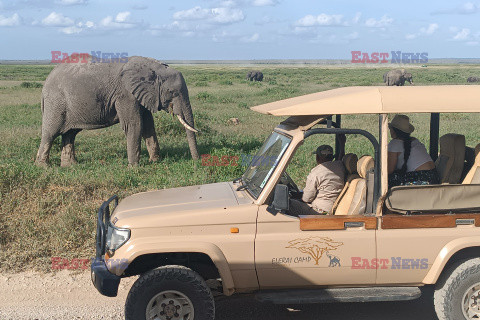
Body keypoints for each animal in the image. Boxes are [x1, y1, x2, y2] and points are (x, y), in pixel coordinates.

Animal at [36, 55, 199, 168]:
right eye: (172, 92)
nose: (197, 161)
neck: (152, 66)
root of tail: (45, 85)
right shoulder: (125, 94)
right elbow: (134, 125)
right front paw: (134, 168)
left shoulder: (141, 95)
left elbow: (148, 126)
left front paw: (155, 161)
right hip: (56, 103)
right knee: (50, 133)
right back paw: (44, 167)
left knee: (70, 134)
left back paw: (70, 166)